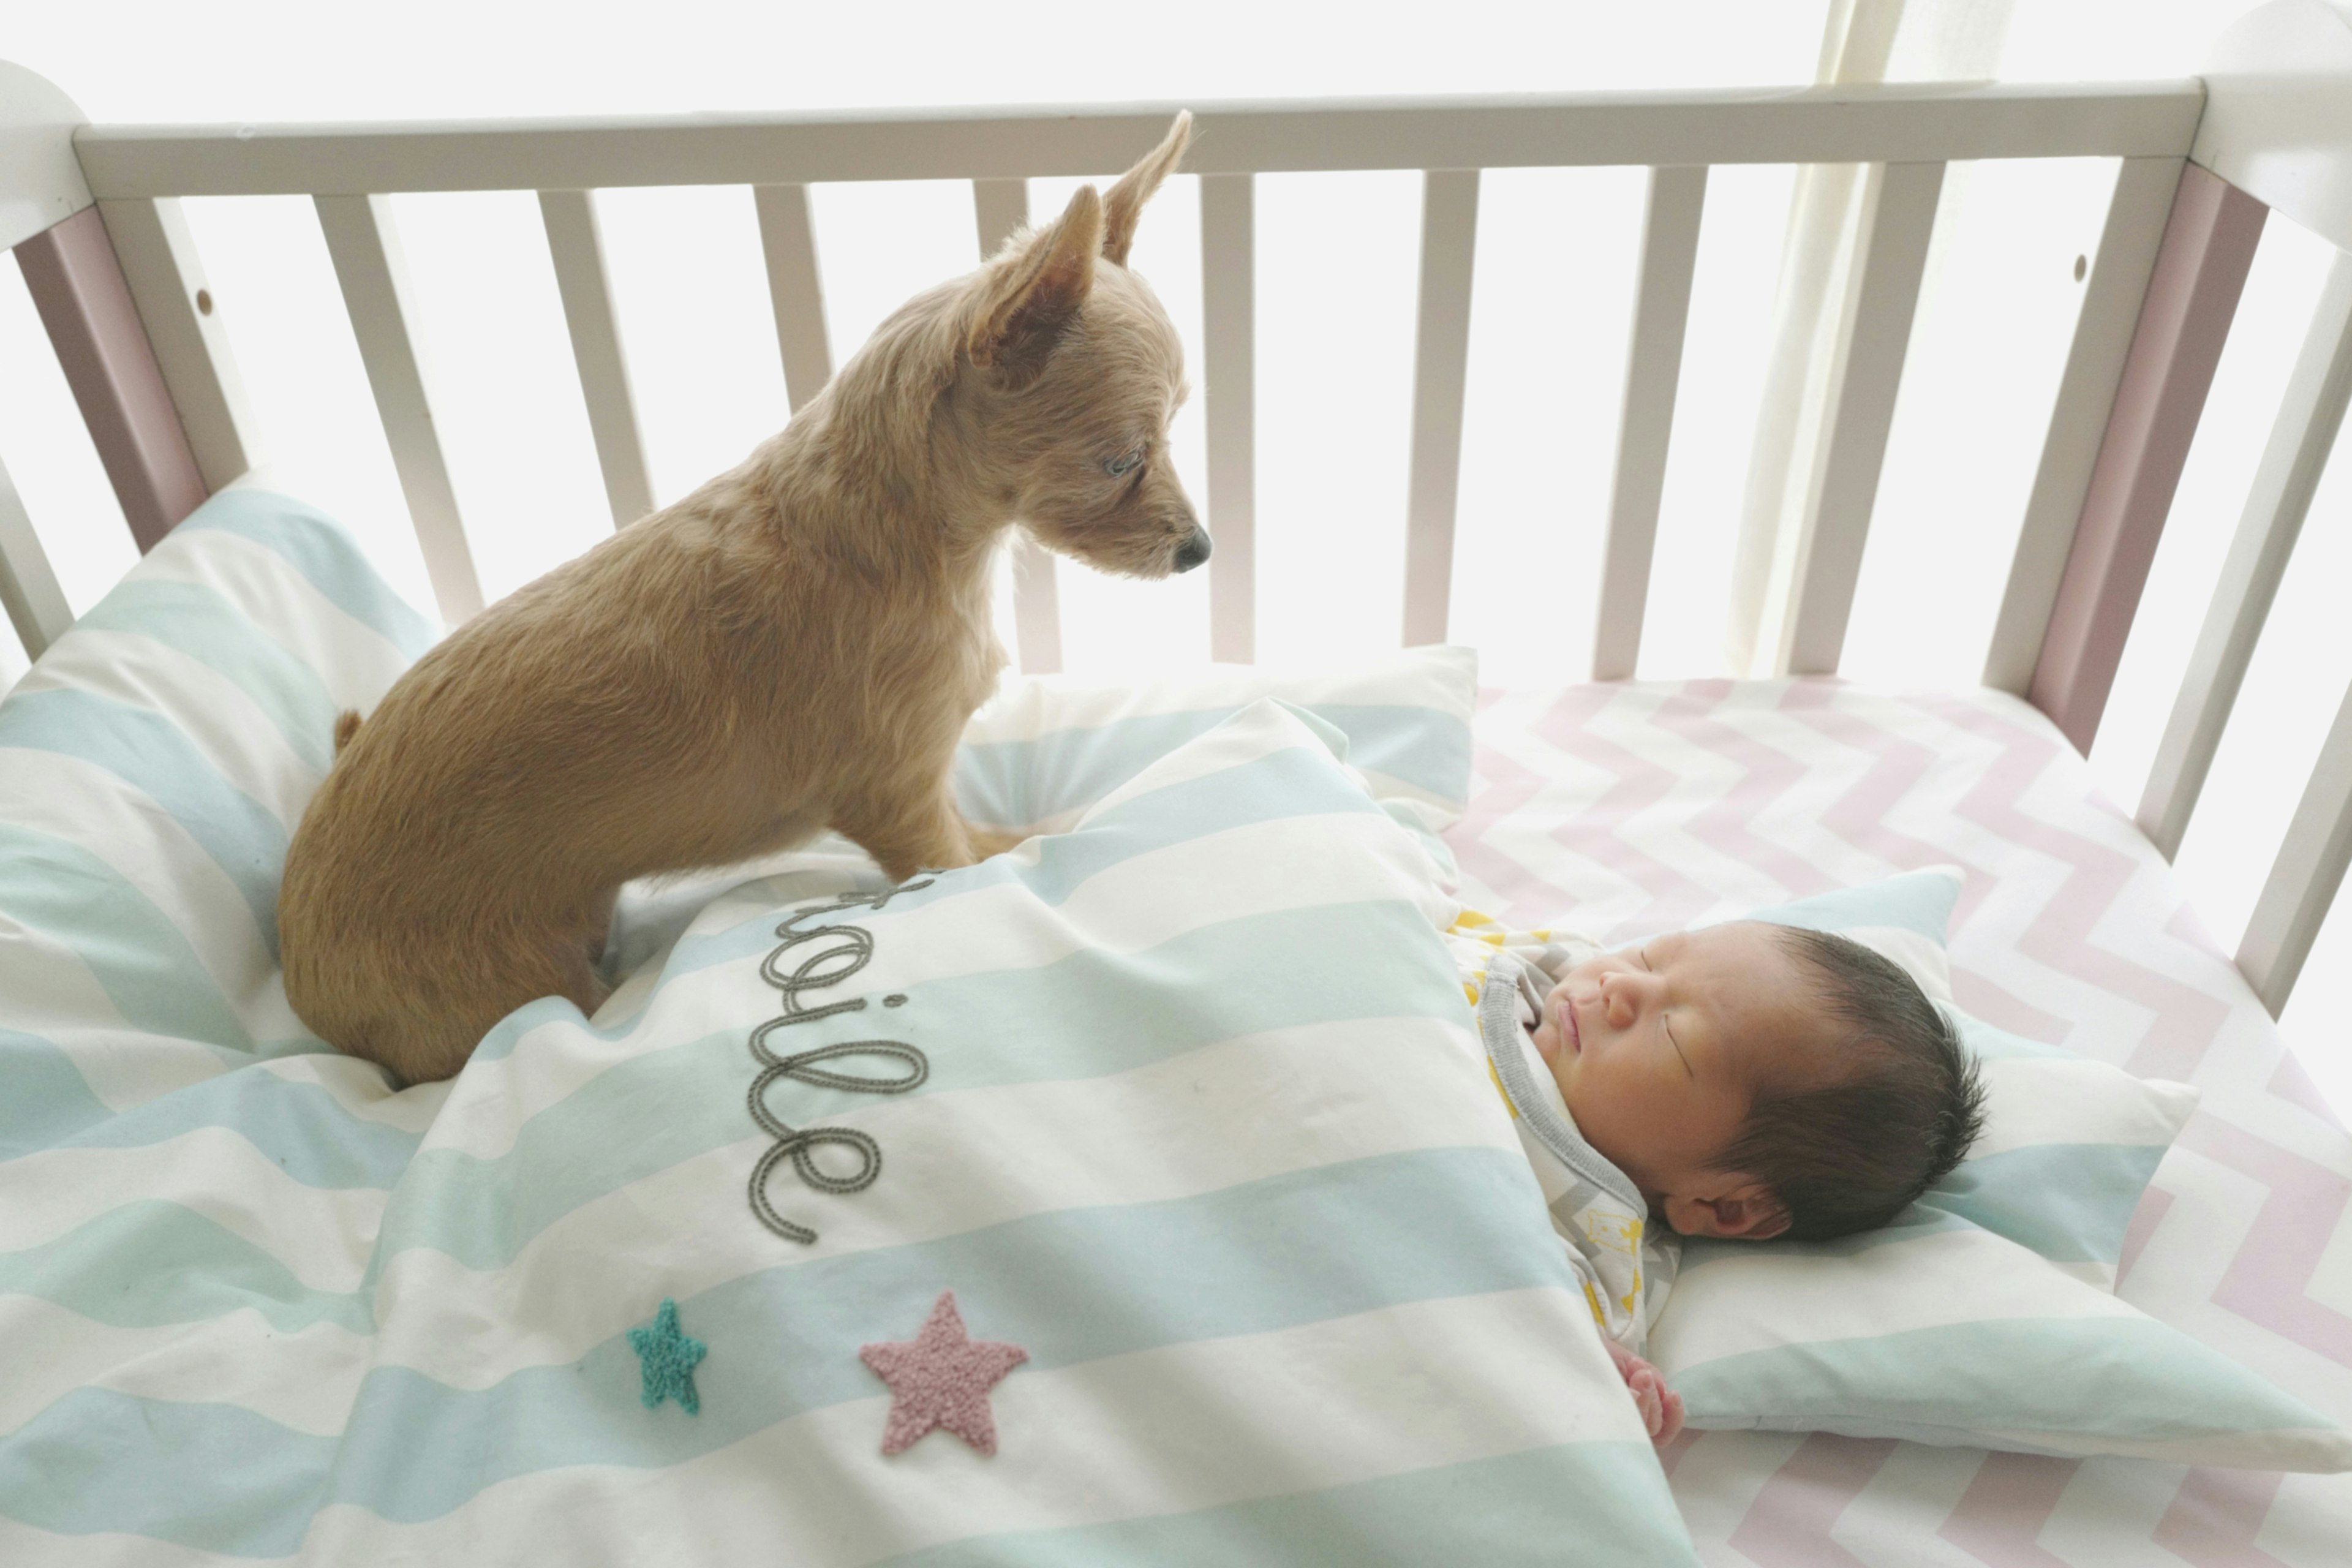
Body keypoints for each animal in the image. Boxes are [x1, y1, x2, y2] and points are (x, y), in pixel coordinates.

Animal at [275, 116, 1204, 1086]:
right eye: (1121, 460)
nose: (1200, 550)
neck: (897, 530)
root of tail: (305, 985)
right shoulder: (897, 789)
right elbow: (948, 861)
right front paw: (995, 869)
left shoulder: (919, 783)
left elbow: (974, 831)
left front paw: (1014, 839)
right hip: (503, 989)